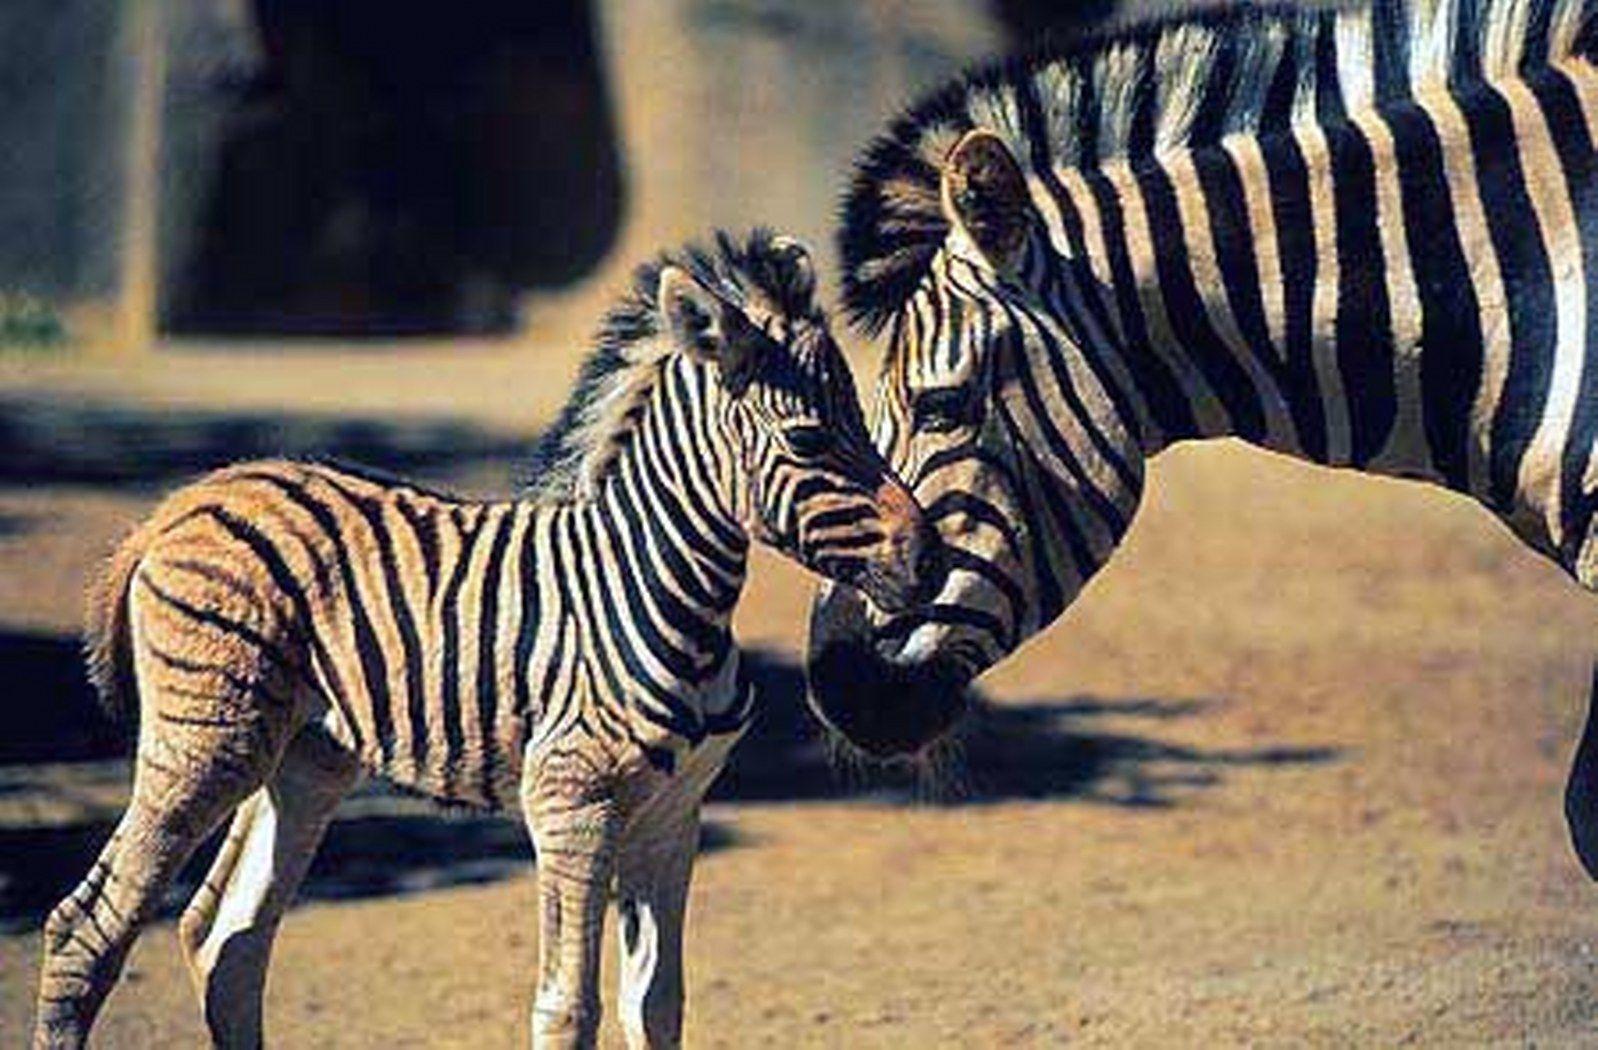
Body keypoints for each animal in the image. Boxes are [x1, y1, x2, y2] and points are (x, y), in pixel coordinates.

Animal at [34, 230, 936, 1050]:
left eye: (863, 419)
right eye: (809, 440)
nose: (929, 560)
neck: (663, 591)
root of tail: (183, 500)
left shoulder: (674, 814)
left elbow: (657, 1007)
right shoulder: (571, 802)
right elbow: (568, 1008)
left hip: (304, 755)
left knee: (229, 939)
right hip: (206, 742)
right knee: (88, 927)